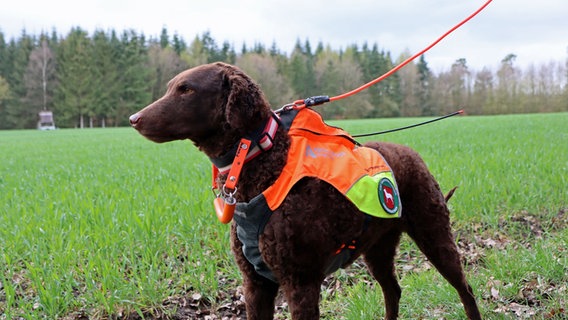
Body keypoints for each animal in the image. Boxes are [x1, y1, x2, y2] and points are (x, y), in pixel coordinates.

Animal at [131, 61, 482, 318]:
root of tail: (411, 152)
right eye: (172, 87)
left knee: (465, 289)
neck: (265, 161)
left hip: (434, 234)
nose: (134, 118)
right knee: (393, 290)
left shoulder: (300, 283)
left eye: (186, 89)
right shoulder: (255, 284)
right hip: (378, 247)